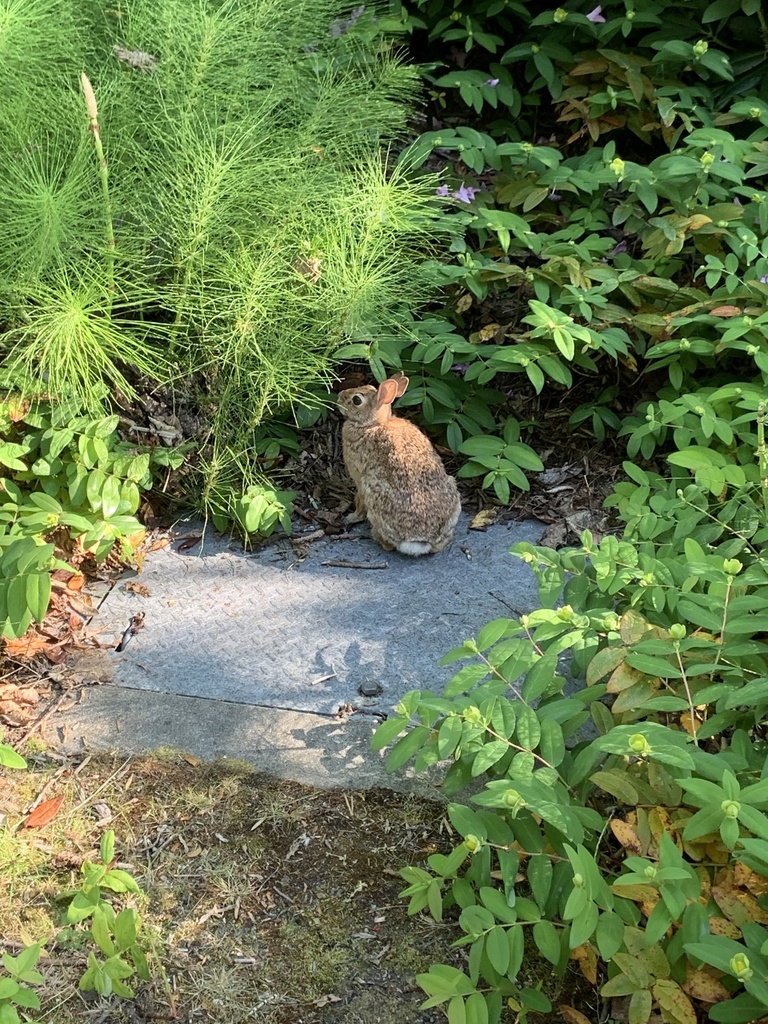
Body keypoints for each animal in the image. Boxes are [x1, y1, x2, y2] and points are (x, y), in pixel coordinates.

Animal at [337, 374, 460, 557]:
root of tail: (419, 540)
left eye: (356, 400)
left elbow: (359, 501)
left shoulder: (359, 478)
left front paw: (350, 518)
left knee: (388, 543)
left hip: (373, 492)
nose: (339, 397)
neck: (374, 424)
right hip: (452, 488)